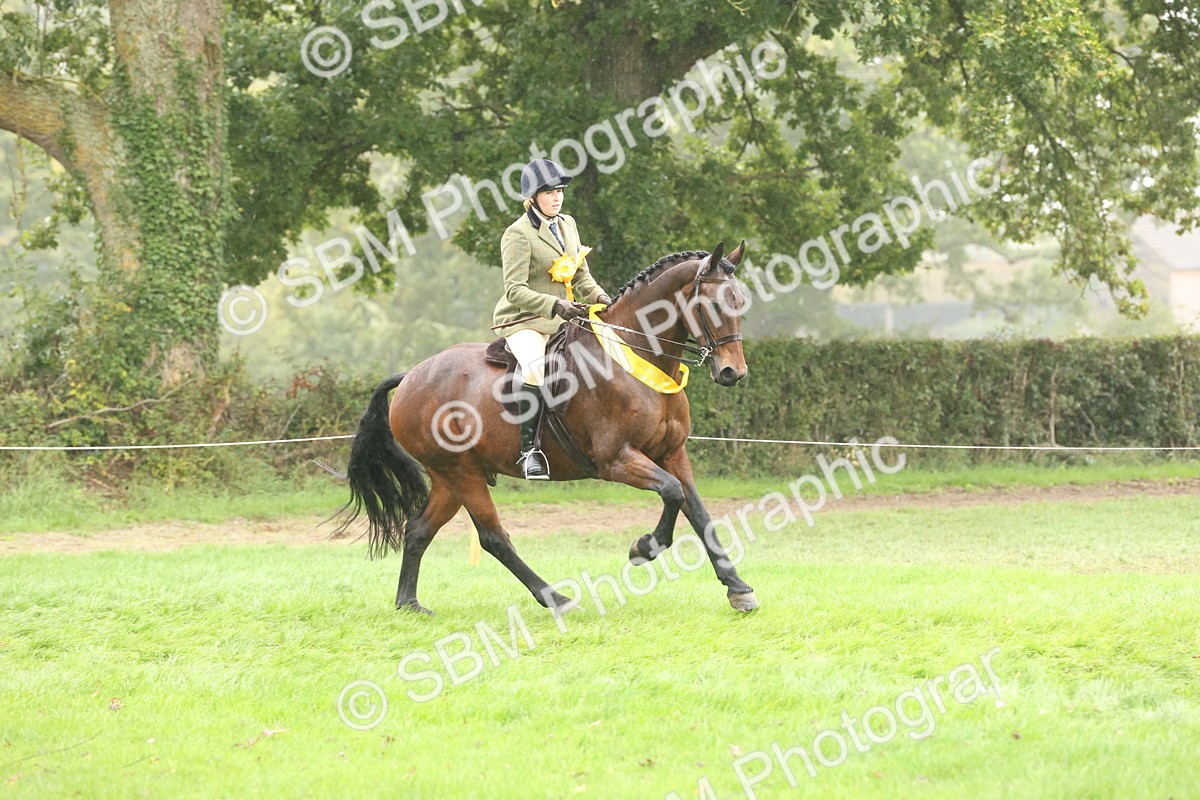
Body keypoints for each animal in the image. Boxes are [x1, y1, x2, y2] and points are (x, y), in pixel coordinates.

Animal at [333, 241, 758, 615]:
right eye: (713, 304)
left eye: (740, 303)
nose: (732, 373)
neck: (635, 357)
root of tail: (409, 377)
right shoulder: (616, 460)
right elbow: (671, 493)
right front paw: (643, 548)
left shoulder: (672, 454)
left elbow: (698, 513)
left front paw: (738, 589)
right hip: (461, 472)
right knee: (493, 538)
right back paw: (557, 599)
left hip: (449, 476)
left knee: (419, 529)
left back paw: (409, 603)